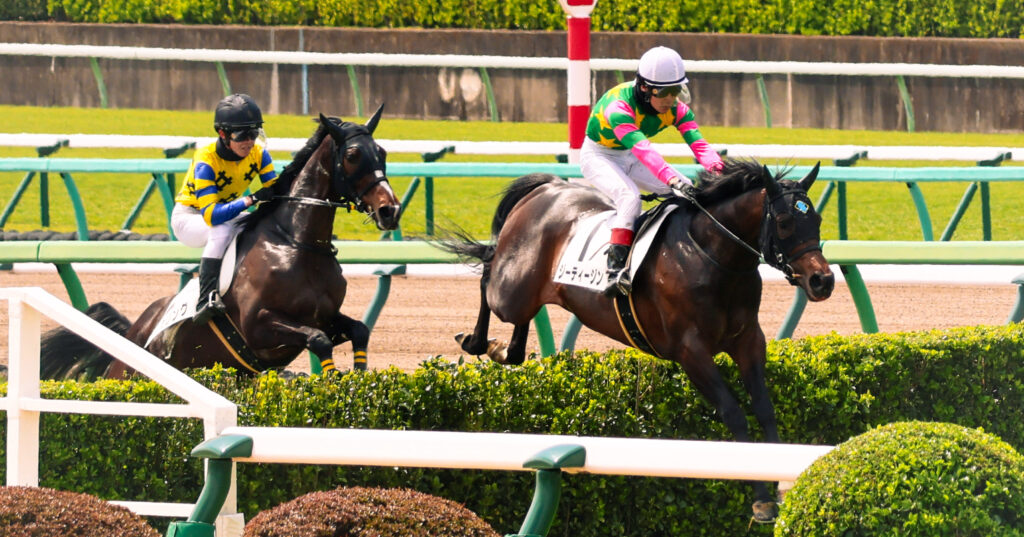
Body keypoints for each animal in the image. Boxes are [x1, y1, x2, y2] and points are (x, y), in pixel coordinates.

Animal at [40, 106, 402, 380]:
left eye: (382, 151)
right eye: (352, 154)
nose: (390, 209)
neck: (298, 244)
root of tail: (132, 334)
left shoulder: (326, 315)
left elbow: (358, 330)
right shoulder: (259, 326)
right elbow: (319, 340)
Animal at [438, 158, 834, 522]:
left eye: (816, 221)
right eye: (783, 222)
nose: (823, 281)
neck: (711, 255)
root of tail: (547, 188)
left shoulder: (749, 340)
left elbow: (765, 409)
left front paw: (780, 481)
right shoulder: (691, 351)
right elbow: (734, 413)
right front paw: (762, 499)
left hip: (528, 292)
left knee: (518, 315)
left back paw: (506, 350)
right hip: (512, 288)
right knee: (488, 273)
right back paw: (477, 340)